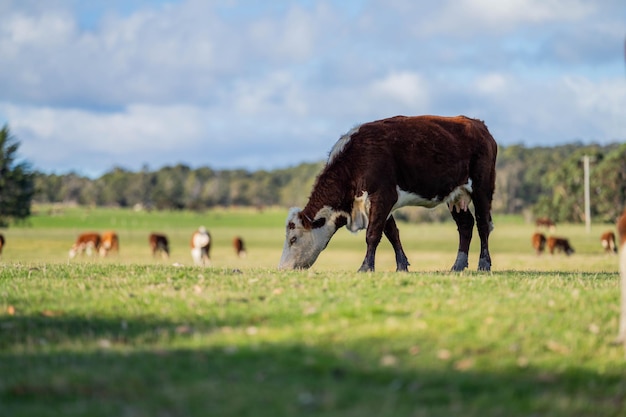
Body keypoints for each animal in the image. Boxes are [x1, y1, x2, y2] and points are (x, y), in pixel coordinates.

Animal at [278, 114, 498, 272]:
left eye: (293, 239)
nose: (282, 268)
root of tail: (478, 124)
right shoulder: (381, 202)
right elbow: (392, 233)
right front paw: (401, 265)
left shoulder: (383, 195)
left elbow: (373, 234)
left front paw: (366, 267)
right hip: (456, 195)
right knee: (466, 225)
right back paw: (458, 265)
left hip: (482, 187)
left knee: (483, 224)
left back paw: (484, 264)